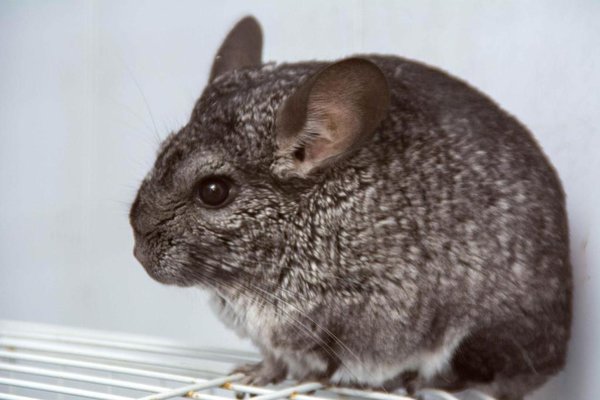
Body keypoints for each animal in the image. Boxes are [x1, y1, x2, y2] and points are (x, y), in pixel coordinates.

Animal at [129, 16, 572, 400]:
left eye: (213, 191)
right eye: (162, 153)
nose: (137, 251)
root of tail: (558, 357)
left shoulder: (368, 319)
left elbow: (331, 364)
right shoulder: (269, 336)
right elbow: (274, 362)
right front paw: (252, 374)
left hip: (484, 338)